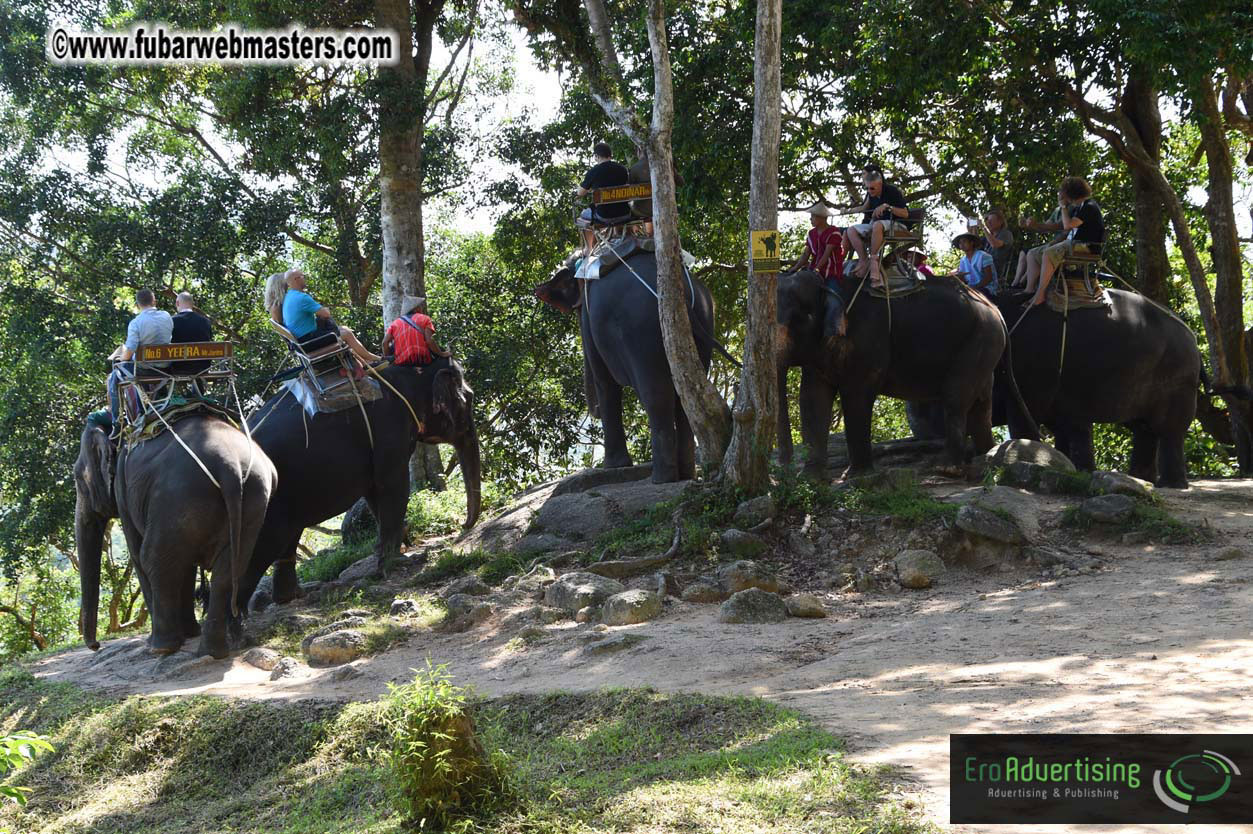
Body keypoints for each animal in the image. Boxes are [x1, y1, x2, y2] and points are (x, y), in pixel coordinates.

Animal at [73, 413, 277, 658]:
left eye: (77, 478)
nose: (96, 646)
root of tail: (231, 468)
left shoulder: (124, 493)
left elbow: (139, 554)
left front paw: (164, 639)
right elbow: (187, 566)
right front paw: (190, 633)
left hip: (178, 494)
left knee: (151, 558)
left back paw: (161, 647)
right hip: (253, 498)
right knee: (228, 570)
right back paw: (214, 651)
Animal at [236, 358, 481, 612]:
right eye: (469, 399)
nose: (463, 525)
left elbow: (374, 492)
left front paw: (396, 547)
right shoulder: (390, 430)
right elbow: (392, 485)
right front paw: (394, 562)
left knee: (288, 536)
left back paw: (292, 596)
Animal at [533, 250, 717, 483]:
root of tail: (679, 290)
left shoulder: (589, 320)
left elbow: (604, 381)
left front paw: (613, 466)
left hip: (640, 329)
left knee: (656, 396)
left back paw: (661, 478)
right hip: (703, 316)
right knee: (688, 393)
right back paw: (685, 475)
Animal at [776, 270, 1035, 476]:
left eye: (798, 318)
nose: (784, 470)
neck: (827, 283)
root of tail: (997, 311)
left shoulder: (869, 340)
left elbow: (856, 395)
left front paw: (857, 477)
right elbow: (812, 398)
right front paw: (810, 479)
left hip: (978, 342)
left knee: (955, 399)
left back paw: (948, 469)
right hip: (986, 347)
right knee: (981, 405)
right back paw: (985, 457)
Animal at [990, 288, 1201, 487]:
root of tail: (1191, 335)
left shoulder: (1032, 370)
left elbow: (1026, 415)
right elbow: (1065, 425)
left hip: (1179, 379)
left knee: (1169, 429)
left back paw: (1170, 485)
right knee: (1143, 428)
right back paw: (1141, 478)